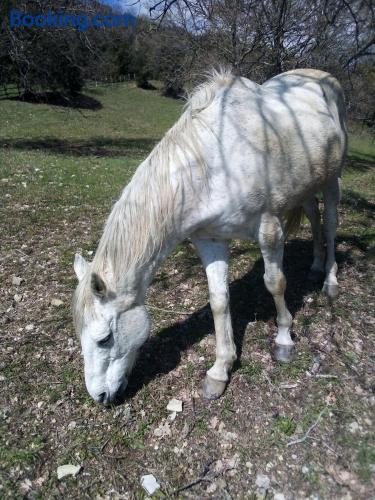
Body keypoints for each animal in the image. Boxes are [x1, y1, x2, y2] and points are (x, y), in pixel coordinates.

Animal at [72, 68, 346, 404]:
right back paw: (316, 267)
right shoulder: (210, 241)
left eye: (104, 339)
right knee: (315, 219)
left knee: (330, 224)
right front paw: (220, 370)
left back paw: (330, 280)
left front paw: (284, 340)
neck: (216, 163)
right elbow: (219, 301)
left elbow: (275, 283)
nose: (99, 396)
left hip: (332, 180)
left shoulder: (269, 229)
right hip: (306, 187)